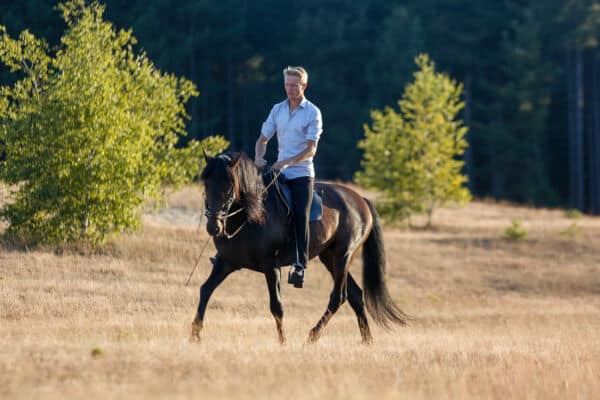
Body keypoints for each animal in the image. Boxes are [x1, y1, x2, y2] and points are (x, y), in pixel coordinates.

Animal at [192, 151, 408, 344]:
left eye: (230, 187)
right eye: (206, 184)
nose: (213, 226)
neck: (249, 216)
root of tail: (361, 200)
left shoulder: (271, 266)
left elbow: (276, 305)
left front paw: (283, 342)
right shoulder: (226, 262)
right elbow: (205, 290)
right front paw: (195, 334)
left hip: (343, 256)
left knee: (338, 297)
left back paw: (313, 335)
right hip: (329, 258)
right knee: (355, 295)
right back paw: (367, 340)